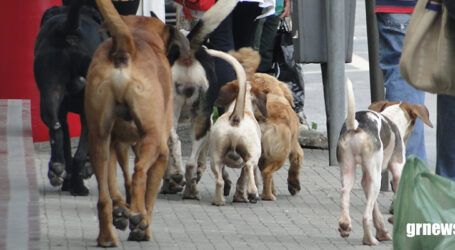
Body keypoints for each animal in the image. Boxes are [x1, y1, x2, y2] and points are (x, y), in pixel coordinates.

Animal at [33, 1, 102, 195]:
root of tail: (68, 27)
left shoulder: (63, 113)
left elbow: (66, 144)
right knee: (78, 153)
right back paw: (79, 187)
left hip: (50, 94)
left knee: (55, 128)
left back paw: (57, 167)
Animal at [85, 0, 189, 246]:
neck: (140, 33)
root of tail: (127, 46)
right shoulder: (161, 153)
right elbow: (149, 197)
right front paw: (142, 228)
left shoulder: (116, 143)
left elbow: (115, 180)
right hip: (153, 140)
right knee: (139, 172)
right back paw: (136, 215)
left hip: (98, 140)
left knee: (104, 197)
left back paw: (108, 234)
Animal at [336, 79, 432, 245]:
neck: (392, 118)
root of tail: (356, 126)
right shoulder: (398, 172)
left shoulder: (367, 178)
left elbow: (374, 206)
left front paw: (382, 230)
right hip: (376, 179)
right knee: (365, 216)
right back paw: (369, 239)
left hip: (351, 170)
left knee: (345, 194)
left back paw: (345, 225)